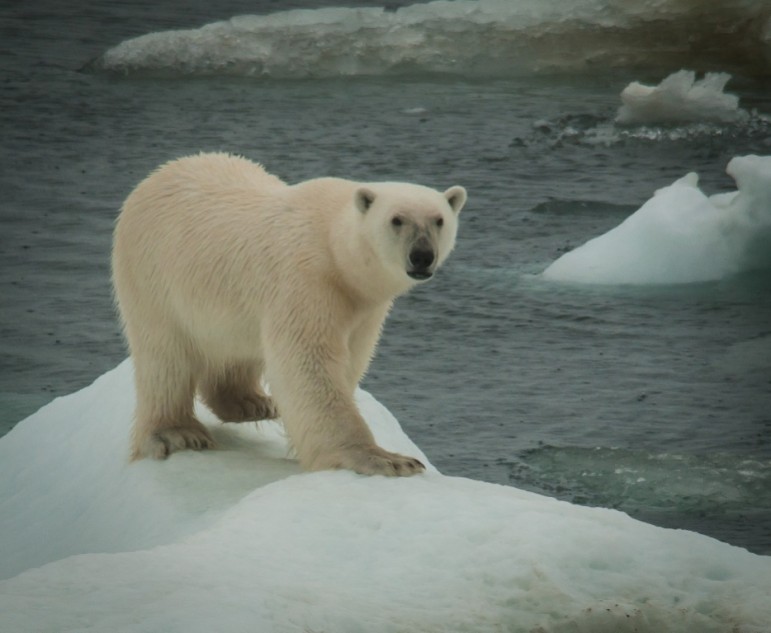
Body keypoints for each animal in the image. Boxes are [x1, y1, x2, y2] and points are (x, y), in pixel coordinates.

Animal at [112, 152, 466, 476]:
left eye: (439, 220)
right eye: (397, 219)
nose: (422, 256)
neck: (335, 250)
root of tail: (158, 174)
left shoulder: (364, 307)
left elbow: (351, 359)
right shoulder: (306, 280)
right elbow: (308, 363)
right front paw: (385, 459)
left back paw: (252, 402)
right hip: (152, 277)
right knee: (165, 357)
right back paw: (177, 433)